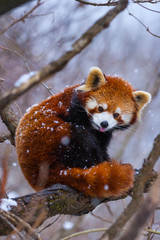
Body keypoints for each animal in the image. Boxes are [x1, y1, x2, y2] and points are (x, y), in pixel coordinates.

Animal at [15, 66, 151, 198]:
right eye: (100, 108)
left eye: (116, 114)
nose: (104, 123)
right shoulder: (74, 112)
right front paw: (104, 162)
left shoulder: (104, 134)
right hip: (52, 138)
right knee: (80, 138)